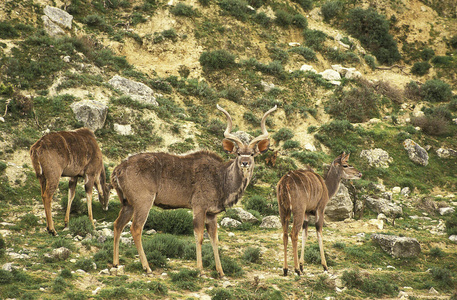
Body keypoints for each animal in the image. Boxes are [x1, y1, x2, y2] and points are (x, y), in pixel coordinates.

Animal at [110, 103, 276, 276]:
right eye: (238, 153)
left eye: (252, 154)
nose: (245, 163)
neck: (220, 178)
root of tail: (118, 169)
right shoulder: (199, 207)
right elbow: (199, 236)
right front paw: (200, 270)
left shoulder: (211, 214)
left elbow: (215, 239)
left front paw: (221, 272)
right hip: (143, 201)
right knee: (135, 228)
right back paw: (147, 268)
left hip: (127, 204)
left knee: (117, 225)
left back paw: (115, 264)